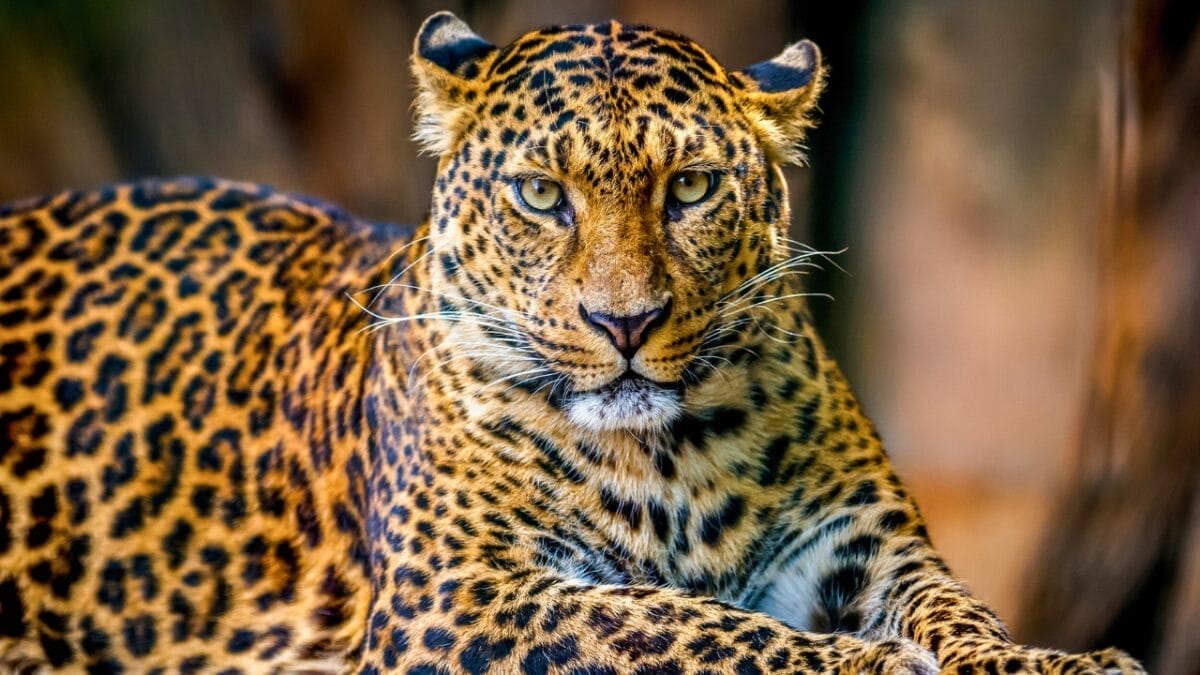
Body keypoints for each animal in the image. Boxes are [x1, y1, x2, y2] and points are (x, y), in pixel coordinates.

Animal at [0, 11, 1146, 675]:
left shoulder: (859, 545)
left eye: (691, 187)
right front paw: (865, 667)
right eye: (542, 196)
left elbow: (961, 612)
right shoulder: (461, 598)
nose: (624, 323)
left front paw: (1056, 663)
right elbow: (673, 622)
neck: (673, 457)